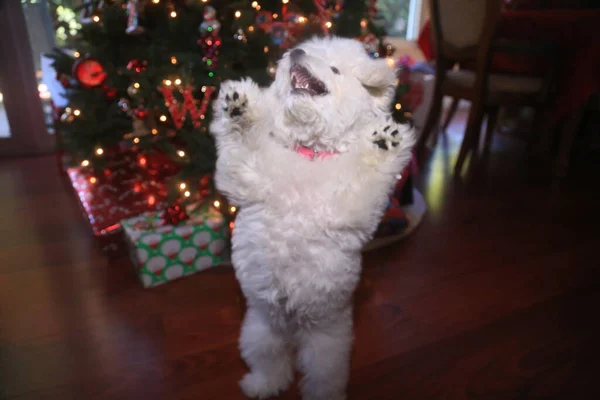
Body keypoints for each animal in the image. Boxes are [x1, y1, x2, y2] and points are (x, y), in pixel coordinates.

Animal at [210, 36, 412, 398]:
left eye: (334, 68)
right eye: (304, 51)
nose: (296, 52)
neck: (311, 154)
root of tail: (292, 329)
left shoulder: (353, 204)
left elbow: (368, 169)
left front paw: (383, 143)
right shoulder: (246, 174)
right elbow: (244, 141)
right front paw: (239, 109)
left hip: (326, 347)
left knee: (321, 379)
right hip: (259, 333)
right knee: (273, 365)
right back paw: (261, 385)